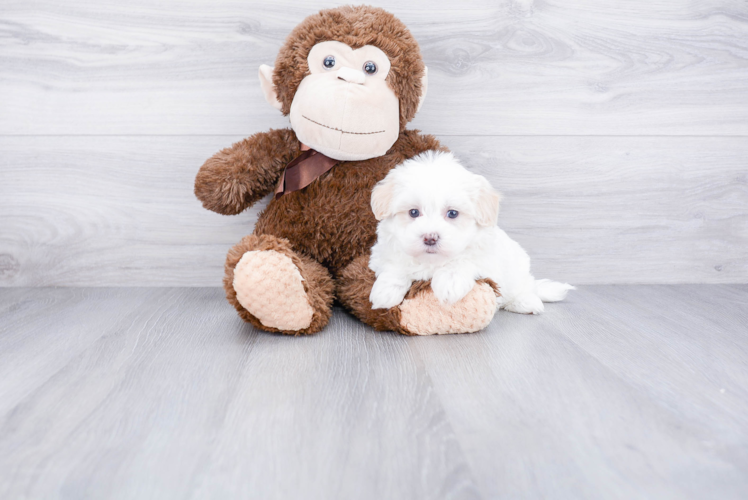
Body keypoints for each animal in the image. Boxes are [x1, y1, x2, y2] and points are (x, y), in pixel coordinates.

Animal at [368, 150, 572, 314]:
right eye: (413, 212)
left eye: (452, 213)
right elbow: (395, 263)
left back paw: (525, 301)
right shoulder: (384, 251)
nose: (430, 238)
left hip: (517, 268)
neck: (433, 262)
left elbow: (463, 260)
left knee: (523, 287)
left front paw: (449, 282)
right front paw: (385, 291)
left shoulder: (485, 256)